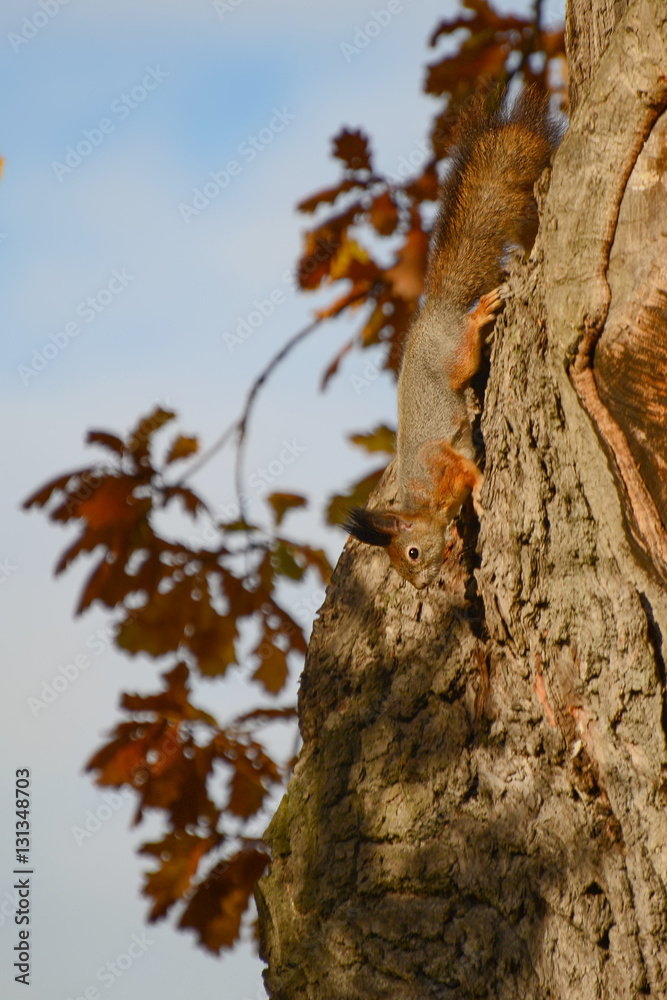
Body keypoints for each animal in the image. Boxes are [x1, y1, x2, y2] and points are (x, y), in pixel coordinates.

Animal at [345, 86, 562, 589]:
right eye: (403, 568)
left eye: (411, 552)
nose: (423, 586)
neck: (421, 502)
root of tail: (433, 312)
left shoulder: (441, 464)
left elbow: (468, 471)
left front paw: (480, 494)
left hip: (453, 359)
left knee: (466, 351)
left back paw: (480, 315)